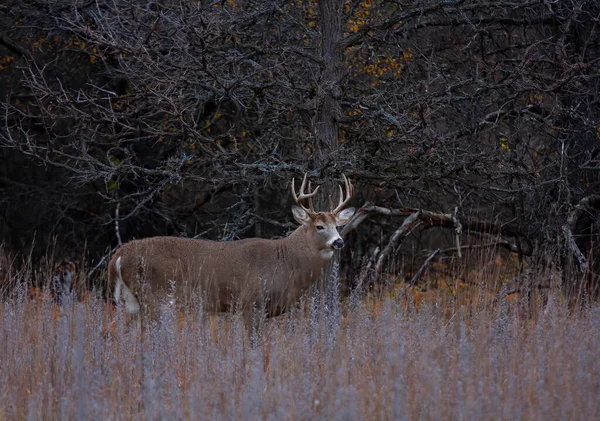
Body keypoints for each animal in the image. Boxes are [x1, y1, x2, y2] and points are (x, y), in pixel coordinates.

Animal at [106, 172, 356, 334]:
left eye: (337, 225)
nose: (339, 242)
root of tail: (118, 257)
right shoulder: (250, 302)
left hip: (132, 301)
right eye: (319, 226)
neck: (285, 261)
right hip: (156, 295)